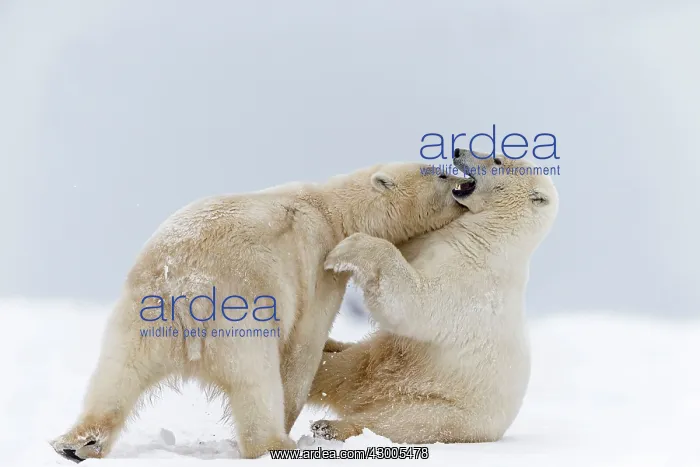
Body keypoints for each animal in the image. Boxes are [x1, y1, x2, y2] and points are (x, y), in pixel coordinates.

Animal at [50, 162, 472, 461]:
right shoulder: (317, 269)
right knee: (255, 379)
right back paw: (276, 444)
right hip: (238, 316)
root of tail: (184, 288)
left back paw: (77, 443)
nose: (464, 183)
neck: (333, 210)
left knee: (116, 374)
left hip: (142, 315)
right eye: (438, 173)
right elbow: (303, 349)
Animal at [307, 149, 559, 444]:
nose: (458, 151)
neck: (490, 237)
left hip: (436, 406)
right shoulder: (435, 241)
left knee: (390, 418)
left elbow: (415, 302)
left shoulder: (466, 281)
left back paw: (329, 426)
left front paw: (349, 248)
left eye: (497, 160)